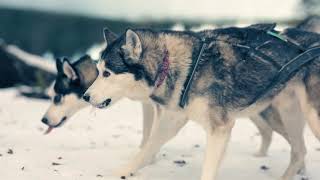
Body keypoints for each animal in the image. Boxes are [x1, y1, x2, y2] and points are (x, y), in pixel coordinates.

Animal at [84, 23, 320, 180]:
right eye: (98, 70)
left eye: (107, 73)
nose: (85, 96)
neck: (180, 66)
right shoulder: (172, 121)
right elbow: (146, 150)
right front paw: (120, 173)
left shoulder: (220, 129)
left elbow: (208, 169)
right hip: (287, 114)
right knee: (299, 152)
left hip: (310, 118)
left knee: (299, 150)